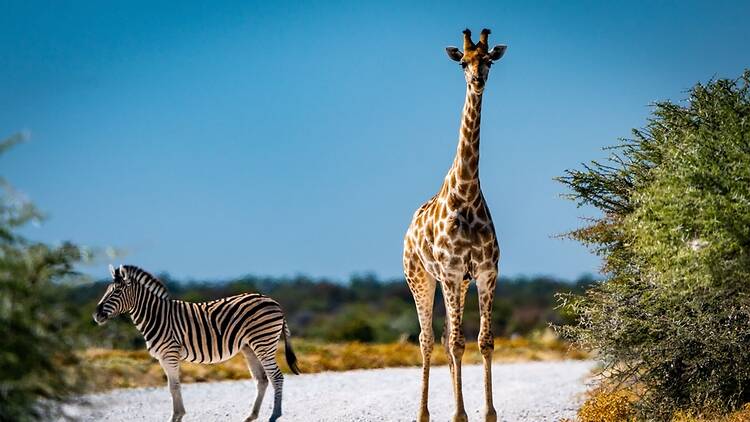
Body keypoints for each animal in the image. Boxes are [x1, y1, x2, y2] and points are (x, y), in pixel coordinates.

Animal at [93, 264, 300, 422]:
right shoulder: (162, 357)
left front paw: (175, 417)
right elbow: (172, 386)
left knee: (276, 377)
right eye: (106, 290)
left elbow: (174, 387)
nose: (96, 315)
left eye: (117, 291)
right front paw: (178, 415)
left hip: (263, 342)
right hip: (249, 347)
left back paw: (275, 415)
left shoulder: (170, 354)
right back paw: (251, 416)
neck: (157, 316)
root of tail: (273, 301)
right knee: (262, 379)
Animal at [403, 28, 506, 422]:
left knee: (446, 338)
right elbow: (460, 343)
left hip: (458, 284)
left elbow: (484, 341)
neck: (467, 194)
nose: (478, 80)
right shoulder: (448, 271)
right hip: (420, 278)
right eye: (463, 62)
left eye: (488, 60)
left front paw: (489, 413)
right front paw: (460, 415)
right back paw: (423, 413)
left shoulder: (486, 272)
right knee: (428, 339)